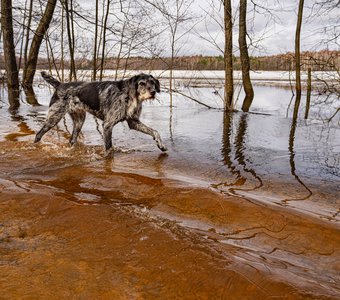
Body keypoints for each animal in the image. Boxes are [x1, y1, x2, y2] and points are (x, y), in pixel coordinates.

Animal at [34, 72, 167, 152]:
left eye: (152, 82)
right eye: (142, 83)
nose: (153, 92)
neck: (129, 95)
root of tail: (60, 85)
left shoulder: (133, 122)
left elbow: (154, 131)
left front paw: (161, 145)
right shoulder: (107, 125)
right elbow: (109, 149)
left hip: (79, 121)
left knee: (72, 140)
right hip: (54, 117)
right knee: (38, 134)